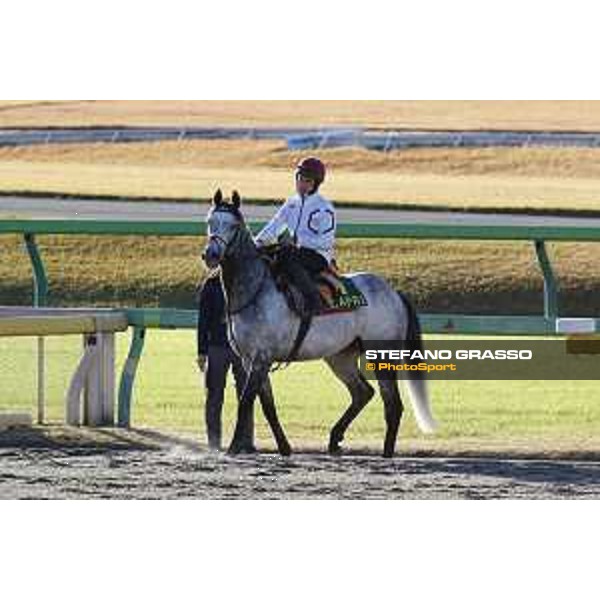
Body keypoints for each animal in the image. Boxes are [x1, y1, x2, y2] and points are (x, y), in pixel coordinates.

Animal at [203, 190, 436, 458]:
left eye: (232, 225)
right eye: (210, 221)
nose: (210, 255)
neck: (254, 289)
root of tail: (394, 292)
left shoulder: (261, 359)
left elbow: (245, 402)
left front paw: (232, 448)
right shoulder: (250, 360)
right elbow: (267, 406)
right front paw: (284, 447)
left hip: (381, 355)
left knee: (392, 404)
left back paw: (386, 453)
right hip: (340, 357)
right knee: (362, 393)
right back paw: (335, 439)